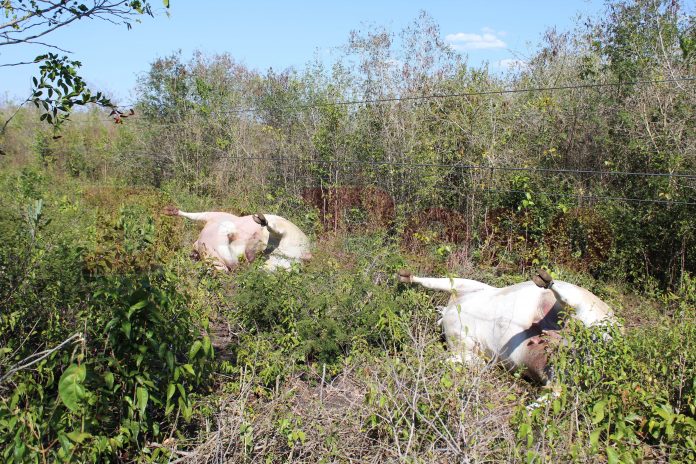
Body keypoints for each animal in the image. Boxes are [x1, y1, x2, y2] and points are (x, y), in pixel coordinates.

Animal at [397, 268, 618, 385]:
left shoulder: (471, 286)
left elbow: (438, 281)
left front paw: (405, 277)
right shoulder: (470, 351)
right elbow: (454, 360)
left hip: (584, 310)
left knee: (570, 304)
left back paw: (545, 280)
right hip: (545, 364)